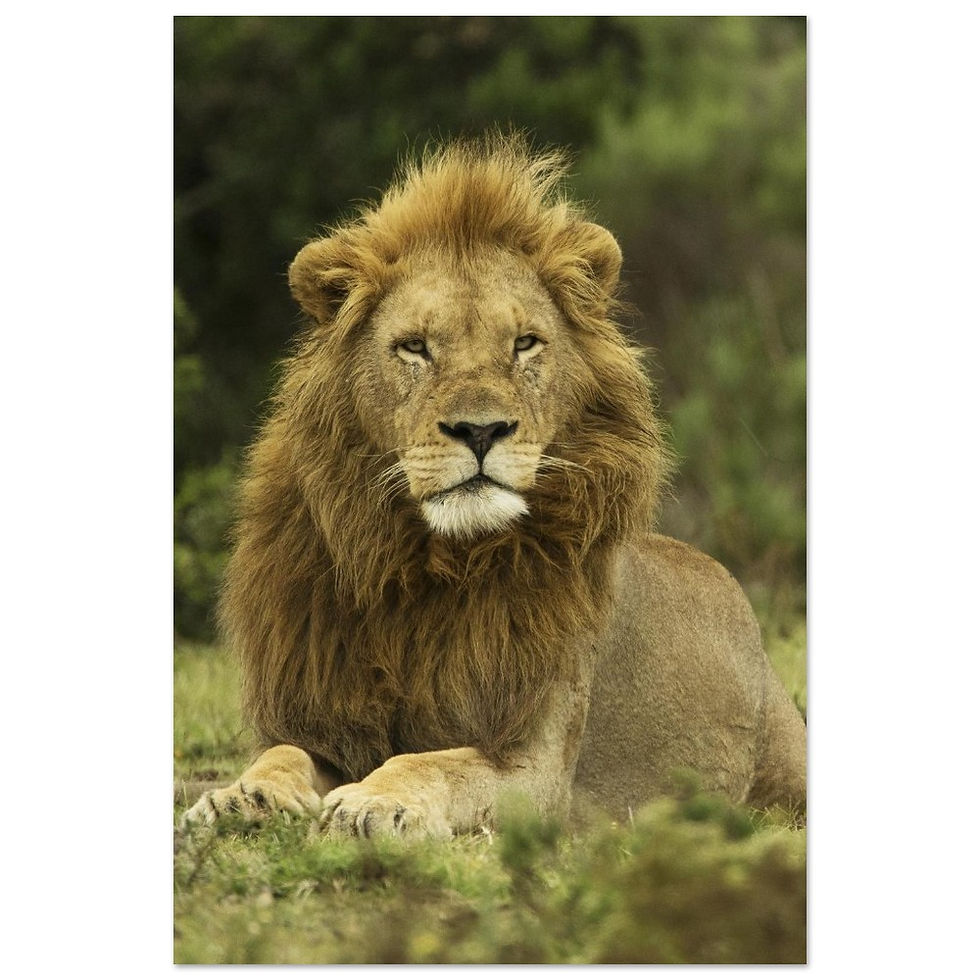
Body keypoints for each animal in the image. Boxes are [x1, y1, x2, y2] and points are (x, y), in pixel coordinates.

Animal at [182, 134, 806, 837]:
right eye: (415, 347)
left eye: (525, 343)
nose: (480, 431)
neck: (426, 566)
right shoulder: (328, 720)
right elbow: (284, 752)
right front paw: (241, 797)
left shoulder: (538, 769)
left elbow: (431, 763)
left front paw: (374, 801)